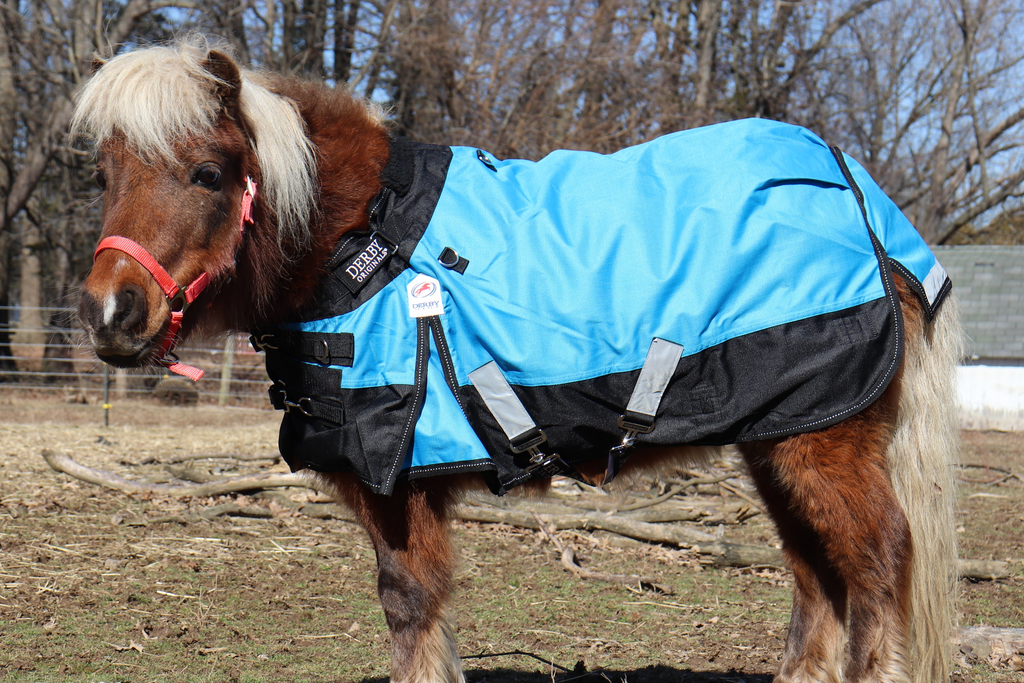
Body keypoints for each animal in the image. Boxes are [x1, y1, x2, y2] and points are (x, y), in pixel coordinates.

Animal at [73, 39, 962, 683]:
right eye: (105, 174)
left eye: (207, 173)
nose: (109, 313)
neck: (369, 241)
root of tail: (869, 206)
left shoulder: (396, 488)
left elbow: (409, 607)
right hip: (777, 443)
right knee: (817, 575)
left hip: (825, 443)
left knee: (878, 563)